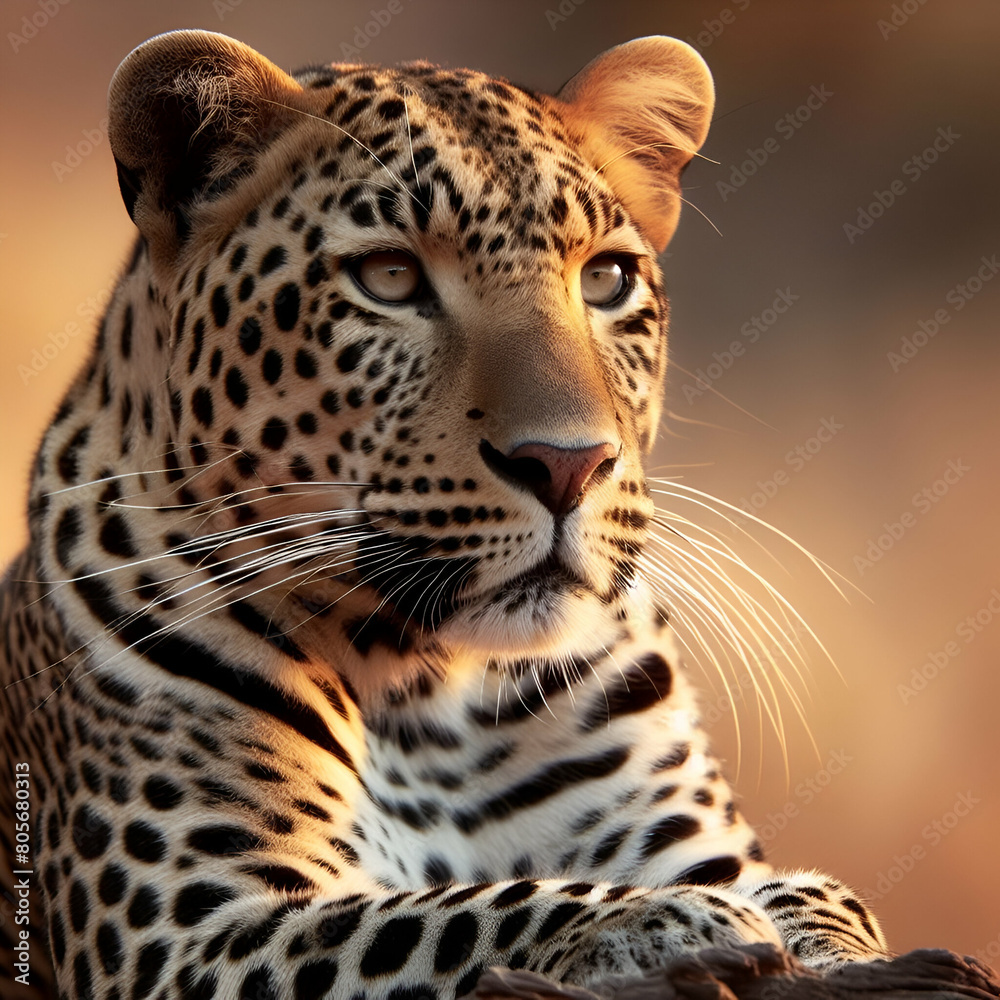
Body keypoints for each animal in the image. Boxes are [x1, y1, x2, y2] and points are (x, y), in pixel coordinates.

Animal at [0, 29, 892, 1000]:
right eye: (389, 278)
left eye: (607, 279)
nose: (568, 465)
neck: (433, 693)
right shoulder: (186, 932)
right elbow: (452, 917)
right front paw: (667, 922)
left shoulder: (691, 835)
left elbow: (827, 899)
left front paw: (805, 922)